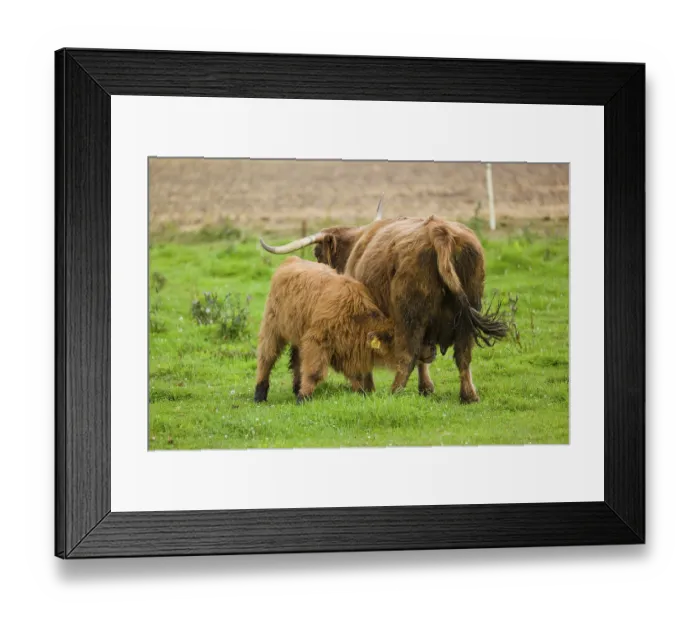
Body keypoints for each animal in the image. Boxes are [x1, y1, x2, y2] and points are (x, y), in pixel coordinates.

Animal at [254, 256, 437, 404]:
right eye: (410, 338)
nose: (432, 349)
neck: (353, 314)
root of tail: (290, 260)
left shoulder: (346, 349)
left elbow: (355, 376)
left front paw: (362, 394)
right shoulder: (317, 341)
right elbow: (314, 372)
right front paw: (303, 398)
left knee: (296, 360)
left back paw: (295, 387)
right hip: (272, 329)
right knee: (266, 358)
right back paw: (260, 394)